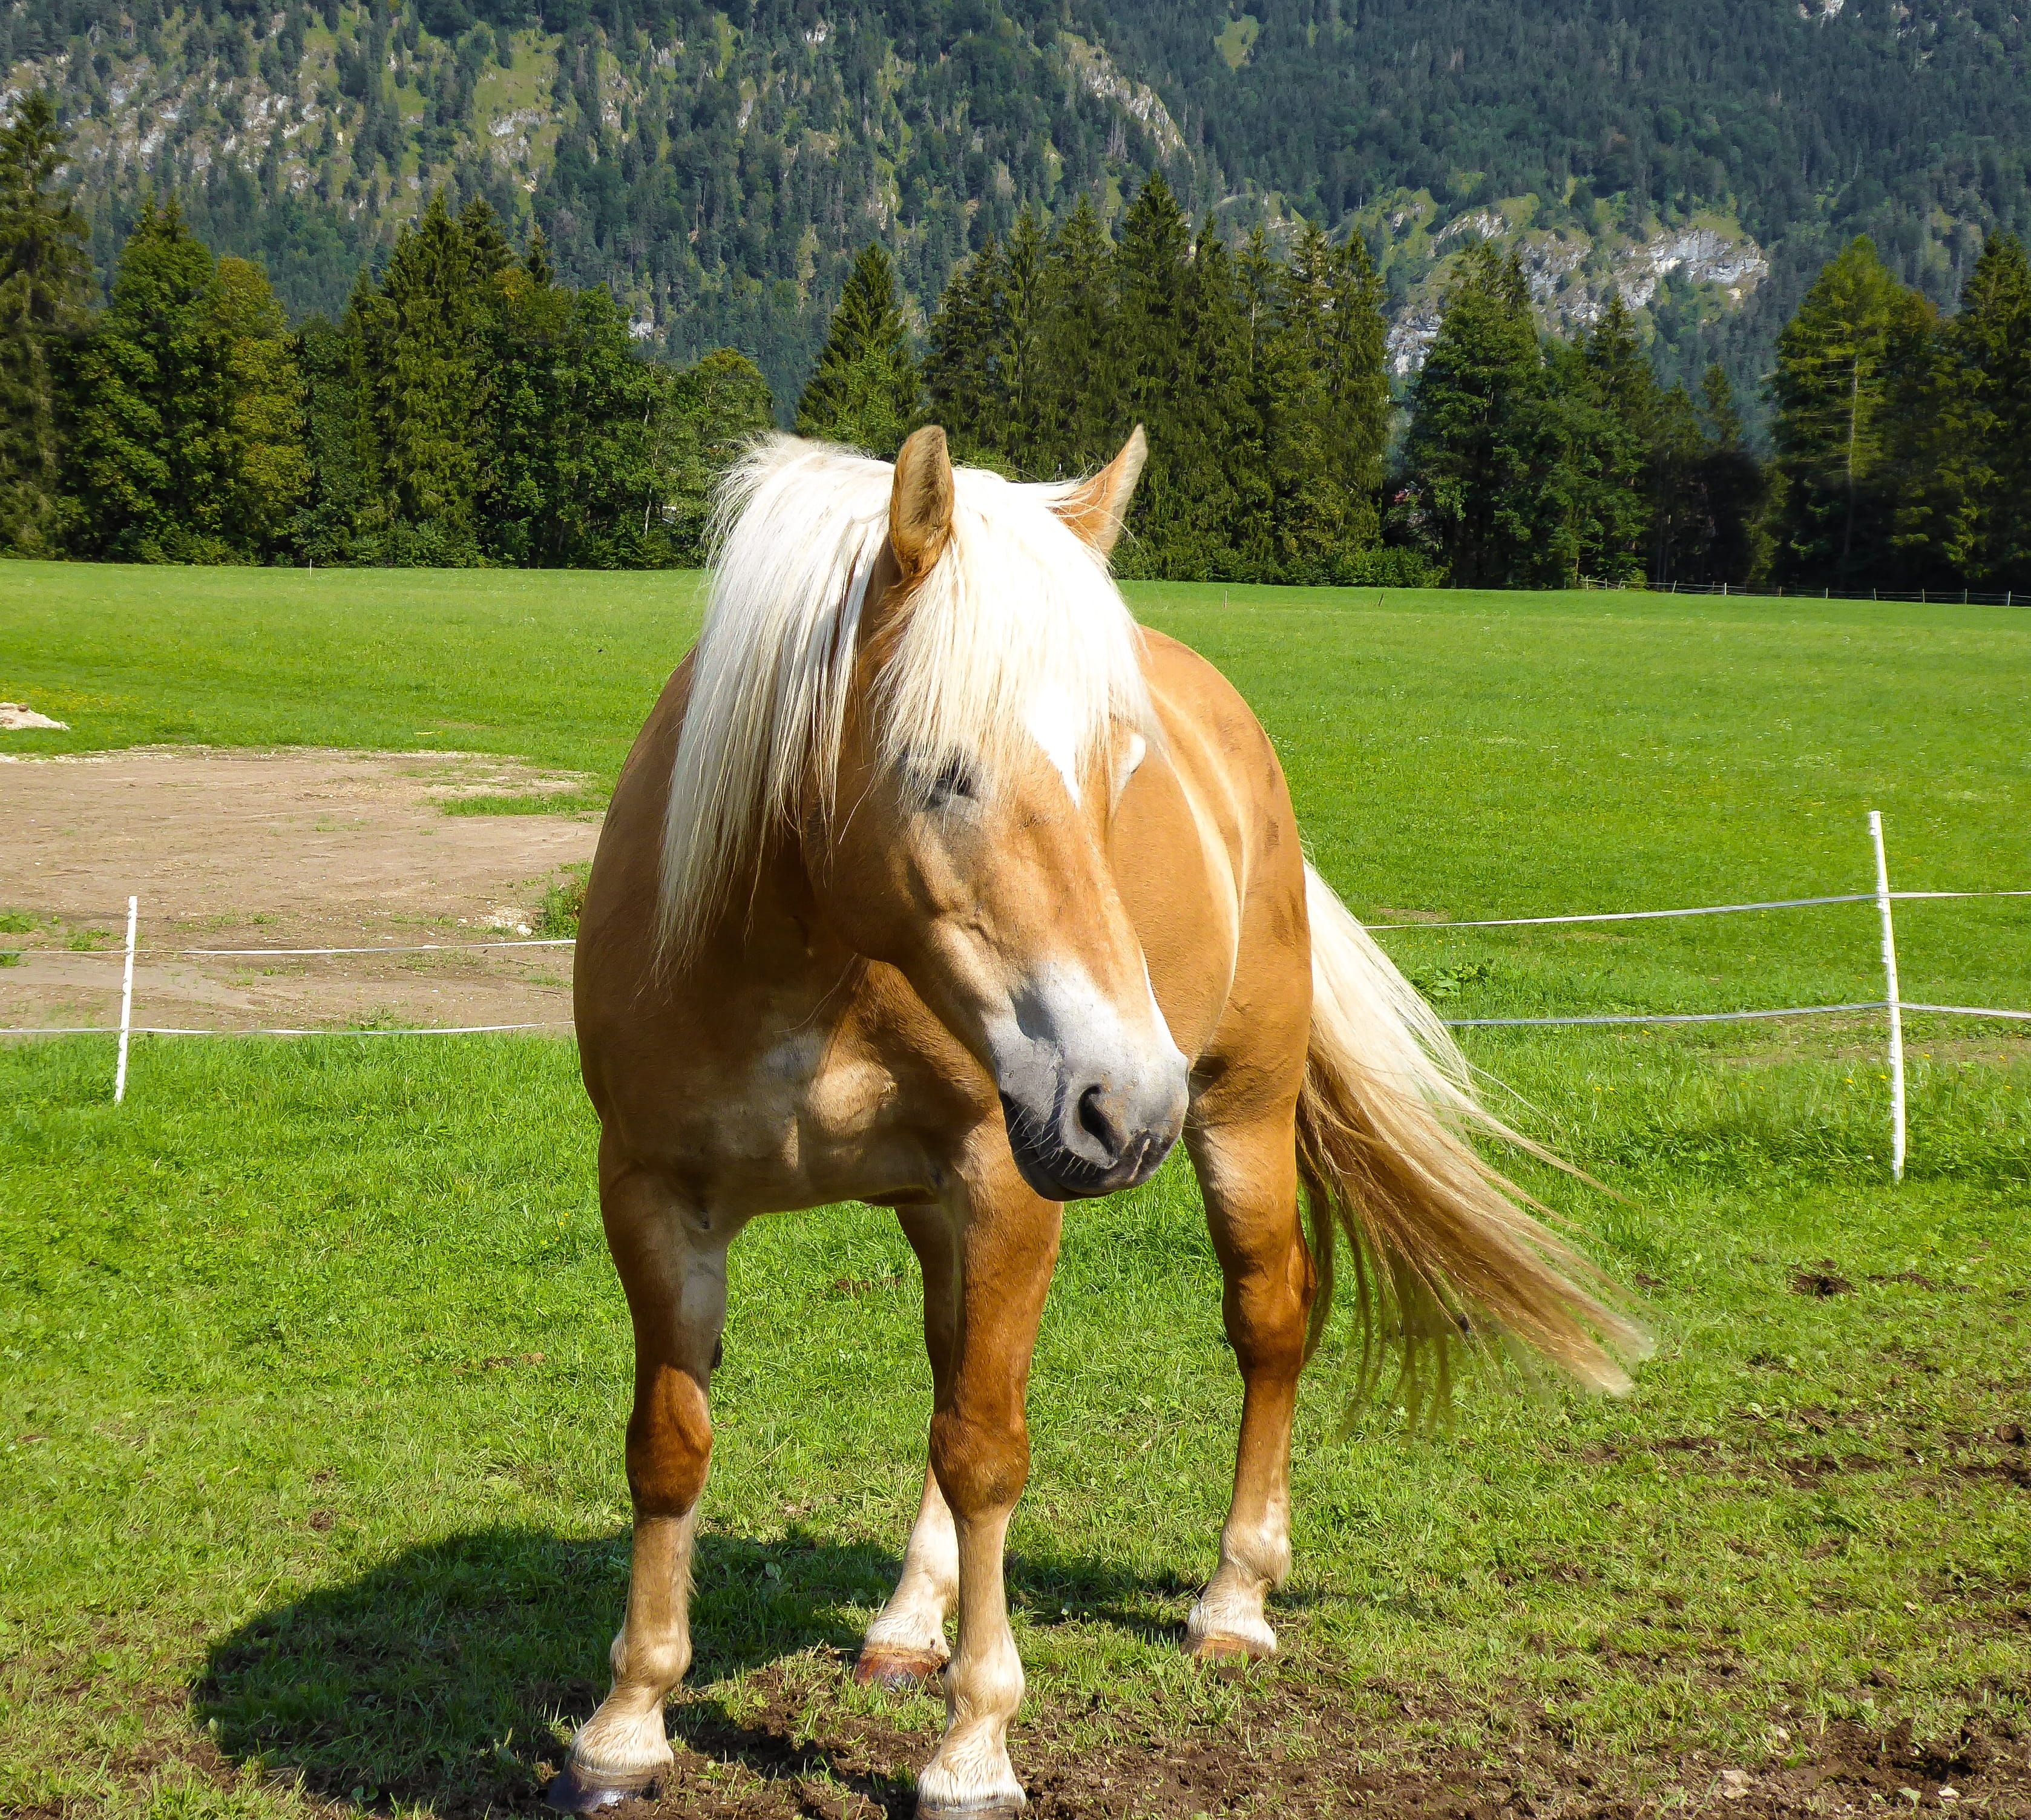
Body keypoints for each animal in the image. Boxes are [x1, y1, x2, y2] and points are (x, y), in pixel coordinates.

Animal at [556, 425, 1646, 1817]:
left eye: (1116, 767)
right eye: (941, 771)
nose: (1125, 1101)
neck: (806, 961)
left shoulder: (1007, 1181)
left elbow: (987, 1450)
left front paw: (975, 1747)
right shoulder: (654, 1195)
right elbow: (670, 1446)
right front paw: (626, 1727)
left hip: (1239, 1116)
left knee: (1264, 1321)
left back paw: (1232, 1600)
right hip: (950, 1204)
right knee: (949, 1367)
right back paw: (907, 1622)